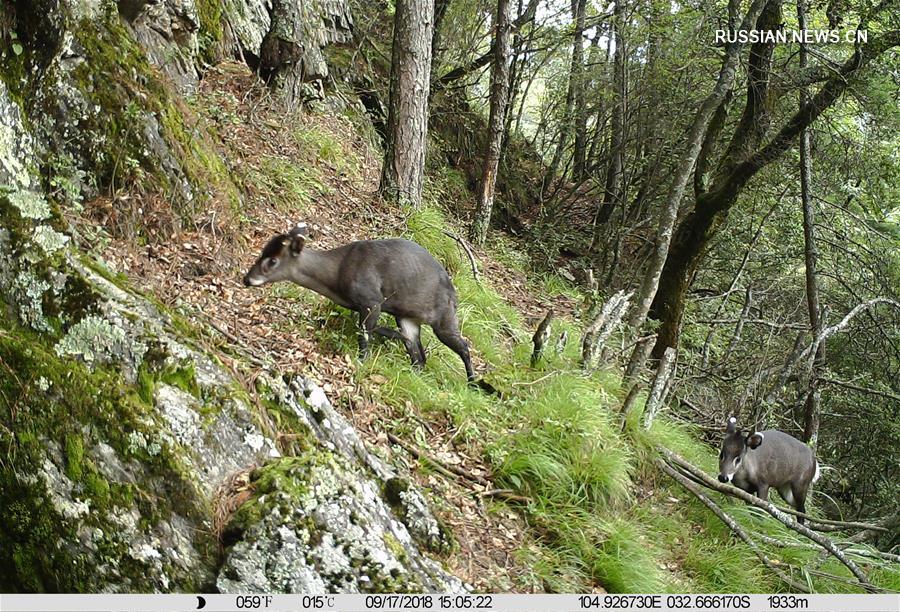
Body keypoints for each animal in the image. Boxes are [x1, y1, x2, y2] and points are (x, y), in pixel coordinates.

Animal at [239, 222, 478, 380]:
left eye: (272, 260)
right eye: (262, 251)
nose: (247, 279)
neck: (338, 274)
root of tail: (454, 294)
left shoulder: (372, 300)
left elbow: (363, 336)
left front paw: (362, 362)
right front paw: (388, 337)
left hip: (444, 317)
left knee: (463, 346)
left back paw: (473, 382)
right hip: (408, 318)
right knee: (419, 356)